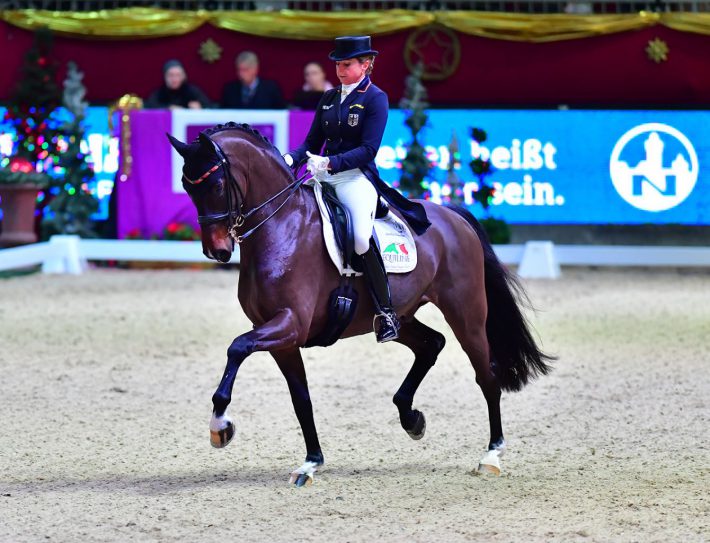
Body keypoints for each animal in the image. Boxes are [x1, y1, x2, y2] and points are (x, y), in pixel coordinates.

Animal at [168, 123, 556, 488]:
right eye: (187, 187)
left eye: (217, 185)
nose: (216, 251)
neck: (281, 227)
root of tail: (453, 215)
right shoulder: (282, 339)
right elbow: (301, 399)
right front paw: (311, 463)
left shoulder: (290, 324)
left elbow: (237, 347)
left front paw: (220, 426)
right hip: (400, 315)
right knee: (431, 344)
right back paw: (411, 418)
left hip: (467, 314)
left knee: (486, 375)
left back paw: (491, 455)